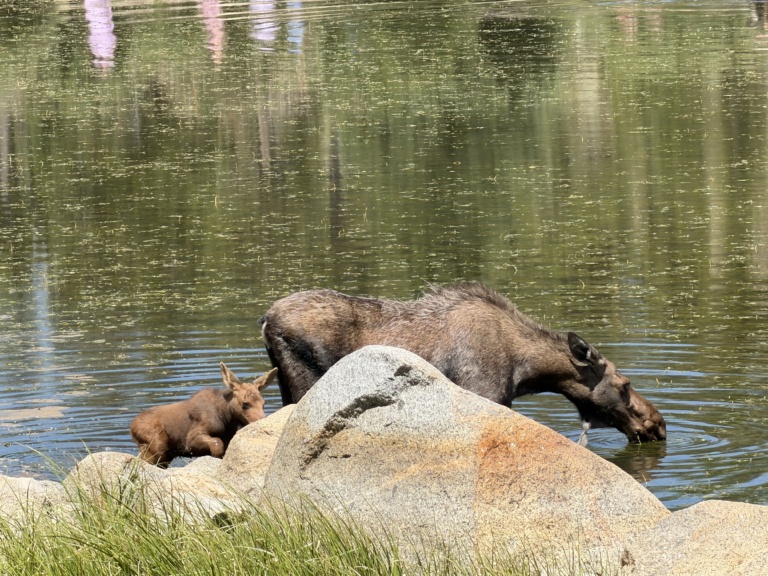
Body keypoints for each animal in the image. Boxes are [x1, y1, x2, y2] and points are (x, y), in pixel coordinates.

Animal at [259, 282, 666, 445]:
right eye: (625, 385)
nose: (659, 424)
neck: (526, 372)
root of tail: (265, 319)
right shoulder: (486, 393)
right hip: (304, 382)